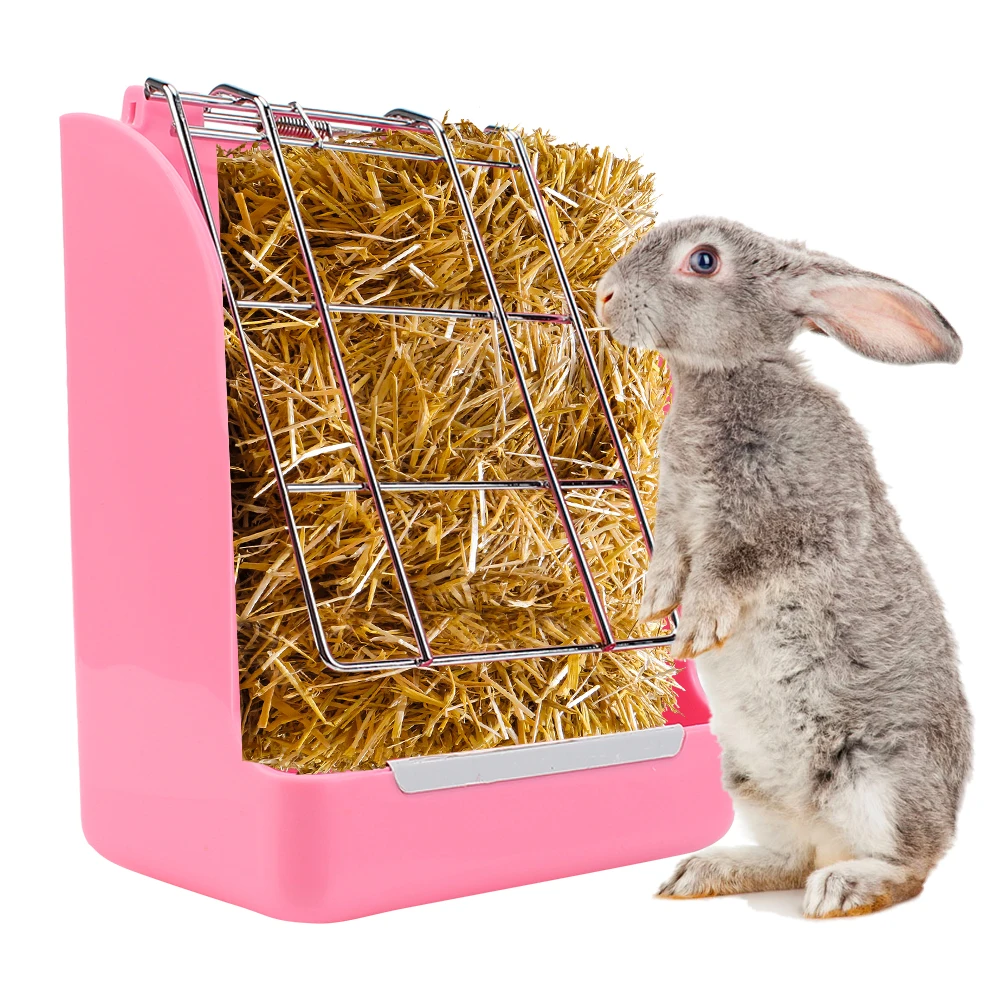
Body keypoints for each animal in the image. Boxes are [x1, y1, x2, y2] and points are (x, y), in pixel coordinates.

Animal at [595, 217, 972, 918]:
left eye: (704, 261)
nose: (603, 296)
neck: (727, 376)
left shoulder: (792, 519)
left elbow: (732, 566)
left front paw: (698, 626)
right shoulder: (676, 512)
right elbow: (670, 554)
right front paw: (654, 604)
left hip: (880, 777)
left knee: (908, 867)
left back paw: (844, 888)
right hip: (749, 783)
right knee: (791, 858)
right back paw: (705, 873)